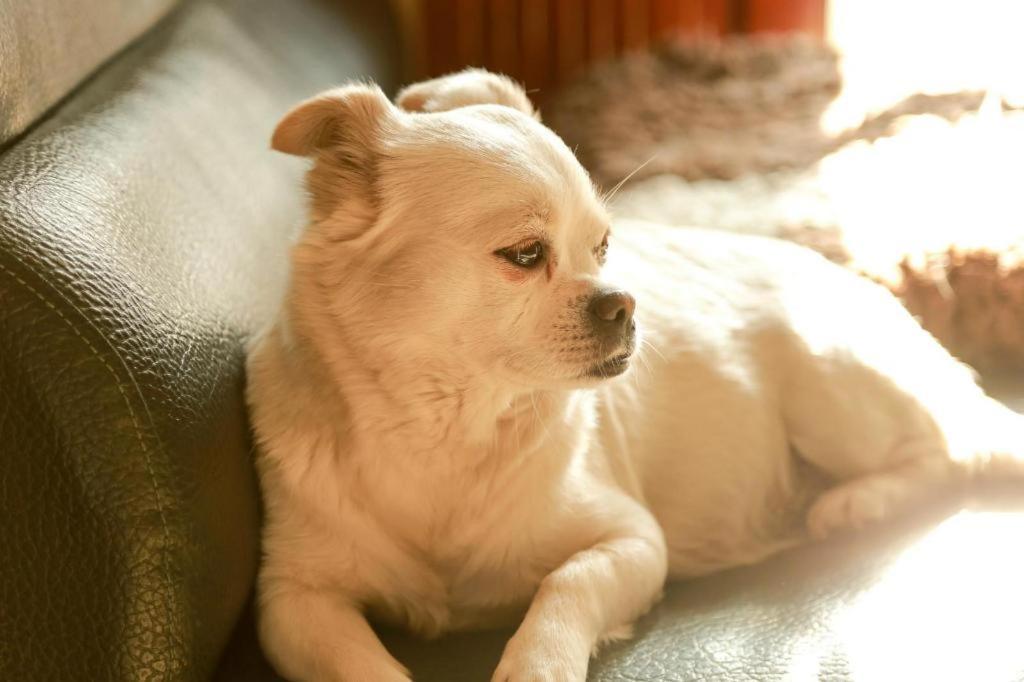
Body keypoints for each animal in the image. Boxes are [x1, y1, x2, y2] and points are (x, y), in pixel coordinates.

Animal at [243, 70, 1019, 679]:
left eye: (604, 246)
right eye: (525, 254)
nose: (623, 301)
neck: (452, 427)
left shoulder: (636, 542)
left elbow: (567, 582)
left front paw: (537, 667)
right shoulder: (293, 602)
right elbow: (359, 662)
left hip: (826, 379)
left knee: (948, 451)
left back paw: (854, 504)